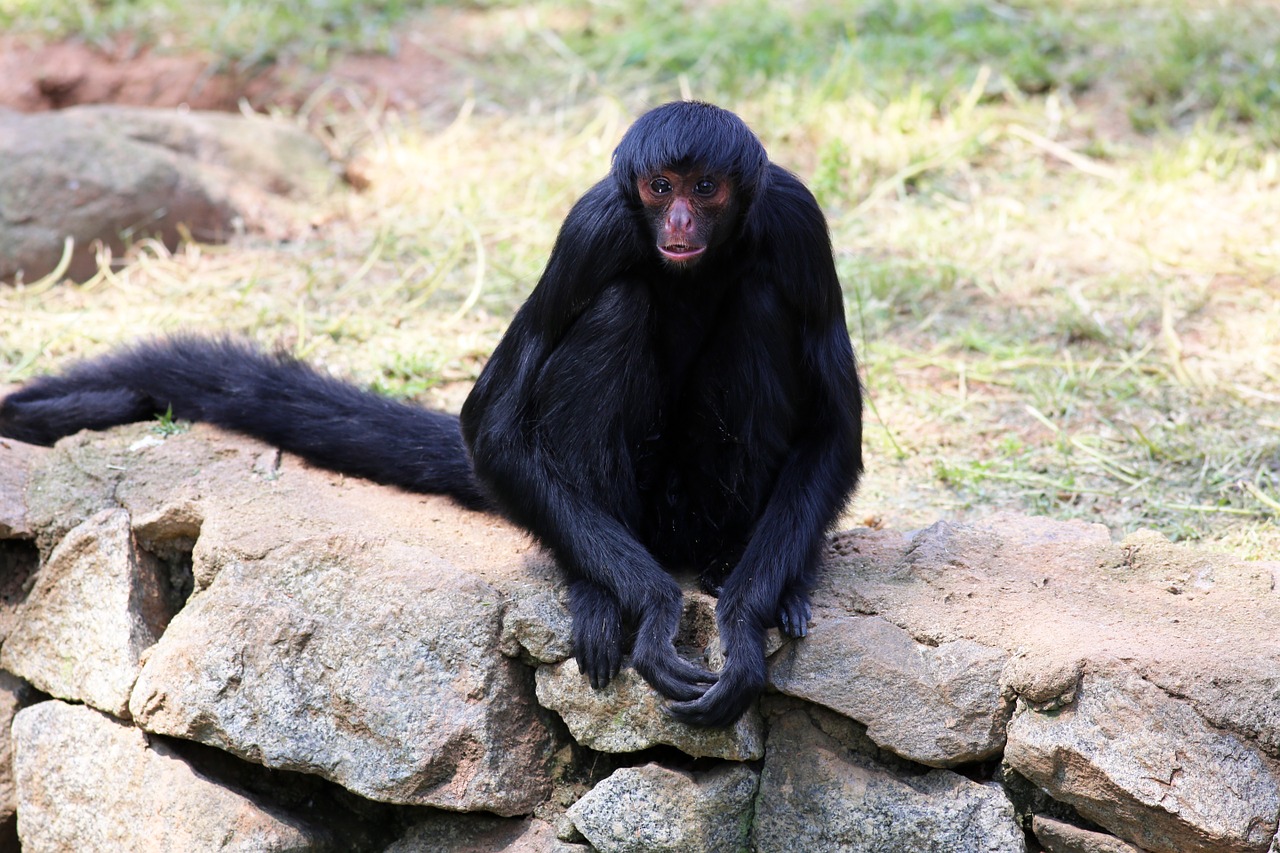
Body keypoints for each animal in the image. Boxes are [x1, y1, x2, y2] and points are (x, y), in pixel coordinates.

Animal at [2, 101, 860, 722]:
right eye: (660, 189)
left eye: (705, 188)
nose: (679, 223)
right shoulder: (595, 226)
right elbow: (492, 422)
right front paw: (650, 610)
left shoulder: (796, 220)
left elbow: (833, 433)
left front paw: (741, 629)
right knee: (619, 304)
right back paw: (596, 588)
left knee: (759, 300)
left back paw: (750, 572)